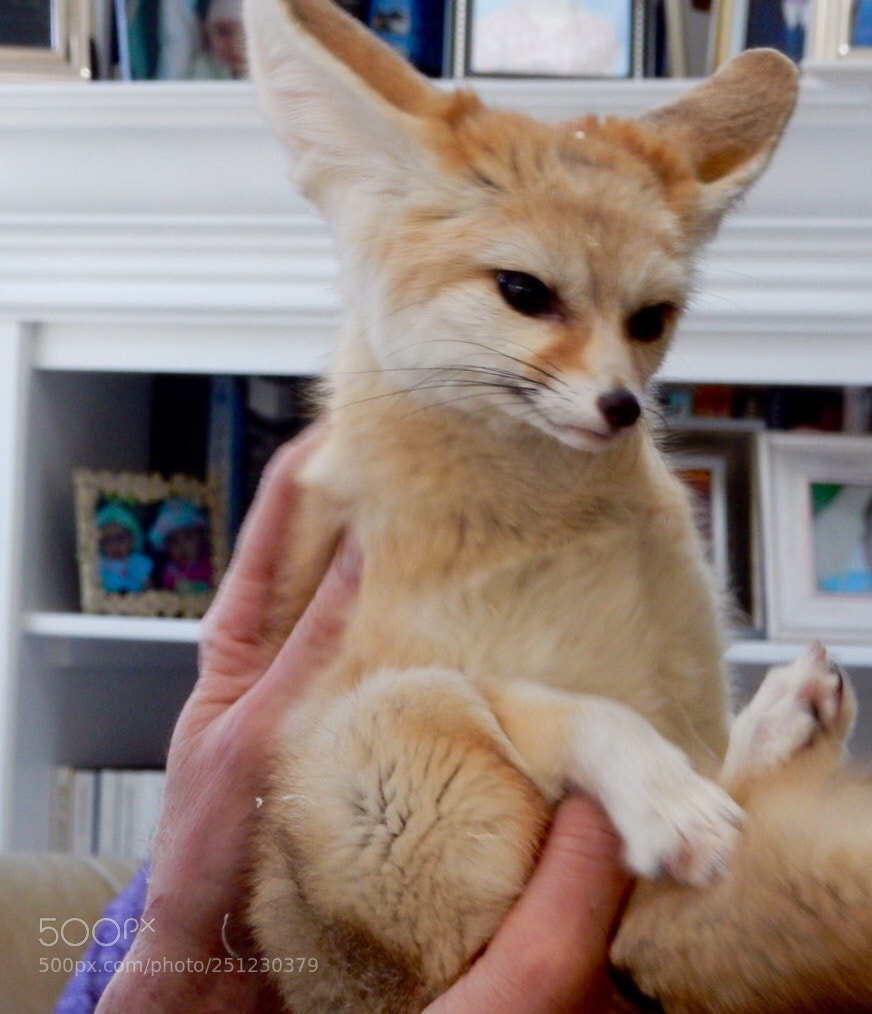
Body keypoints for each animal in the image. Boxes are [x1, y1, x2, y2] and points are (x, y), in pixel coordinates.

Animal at [240, 0, 872, 1010]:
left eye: (652, 320)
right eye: (524, 292)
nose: (621, 407)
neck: (550, 526)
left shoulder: (694, 689)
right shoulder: (371, 674)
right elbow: (568, 708)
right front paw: (662, 794)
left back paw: (786, 725)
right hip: (384, 748)